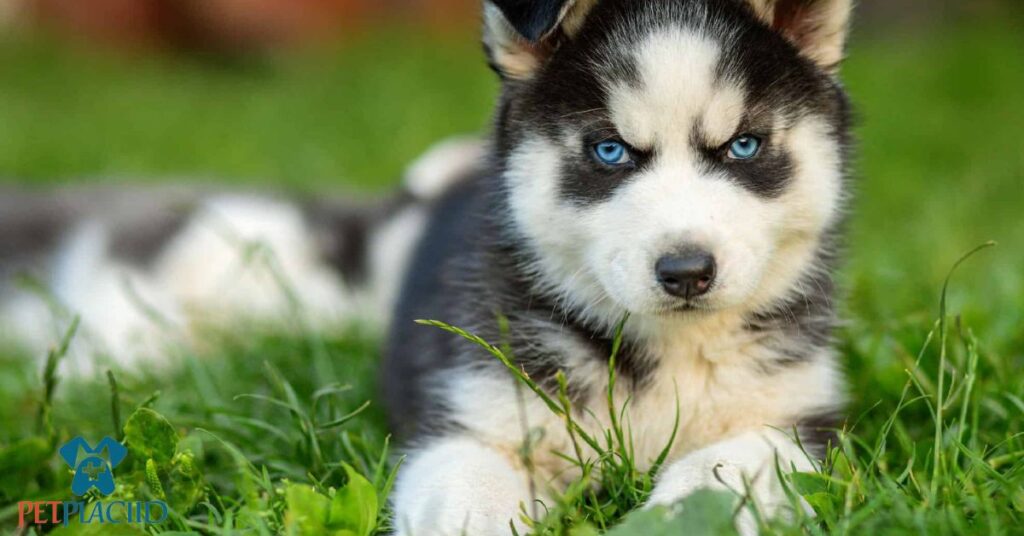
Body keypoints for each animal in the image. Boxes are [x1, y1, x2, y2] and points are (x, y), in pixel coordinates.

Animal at [380, 1, 851, 536]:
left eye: (744, 145)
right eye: (610, 150)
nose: (687, 272)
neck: (670, 352)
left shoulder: (794, 421)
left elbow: (719, 473)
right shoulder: (475, 412)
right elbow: (468, 486)